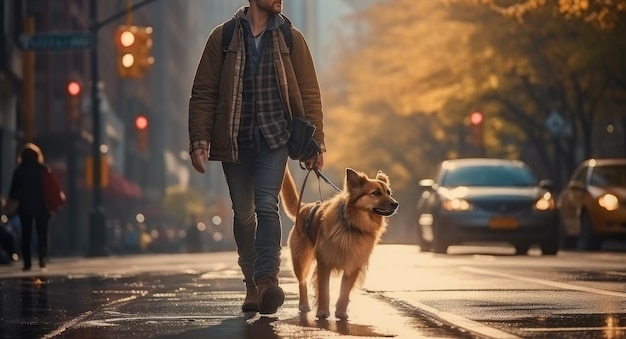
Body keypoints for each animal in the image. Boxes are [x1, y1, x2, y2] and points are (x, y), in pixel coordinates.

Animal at [280, 167, 398, 322]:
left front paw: (341, 312)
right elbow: (324, 291)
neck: (353, 225)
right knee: (302, 282)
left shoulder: (353, 265)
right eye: (376, 193)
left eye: (389, 193)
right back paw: (304, 305)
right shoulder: (324, 264)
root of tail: (304, 206)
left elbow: (344, 292)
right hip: (300, 260)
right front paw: (323, 312)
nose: (396, 203)